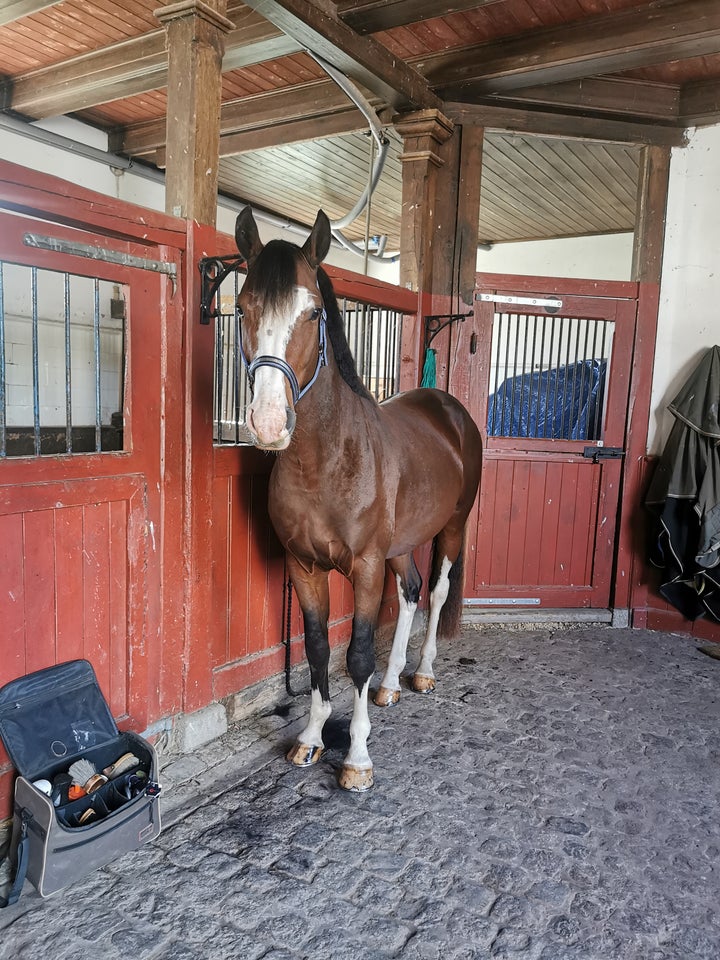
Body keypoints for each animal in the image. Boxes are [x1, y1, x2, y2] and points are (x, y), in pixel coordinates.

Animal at [236, 210, 480, 796]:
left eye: (314, 312)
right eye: (241, 307)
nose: (269, 422)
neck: (326, 461)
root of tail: (449, 409)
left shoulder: (366, 567)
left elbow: (359, 654)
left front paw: (357, 757)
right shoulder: (303, 567)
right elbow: (318, 649)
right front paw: (311, 736)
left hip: (452, 527)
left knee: (435, 593)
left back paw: (422, 674)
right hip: (402, 543)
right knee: (411, 590)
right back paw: (392, 684)